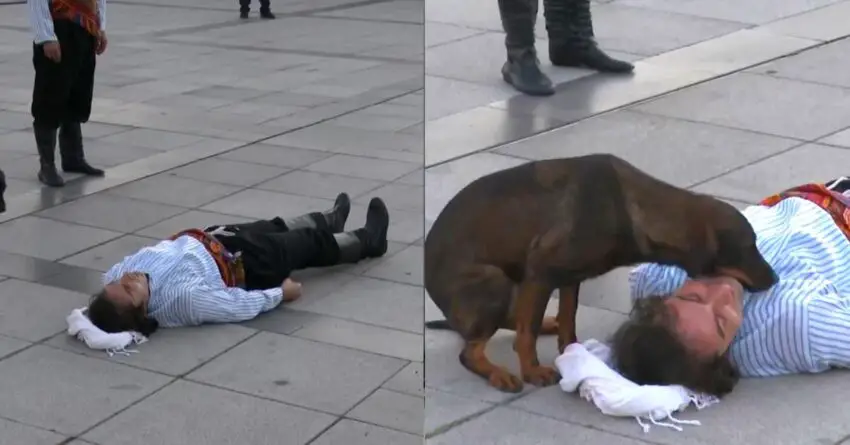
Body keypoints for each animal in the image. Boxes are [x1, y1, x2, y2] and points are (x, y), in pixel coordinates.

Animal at [424, 153, 776, 392]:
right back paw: (498, 372)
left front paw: (571, 350)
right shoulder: (541, 270)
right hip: (495, 282)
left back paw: (544, 326)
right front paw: (533, 371)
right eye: (748, 247)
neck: (632, 209)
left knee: (511, 321)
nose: (775, 279)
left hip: (513, 285)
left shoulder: (568, 278)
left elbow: (567, 318)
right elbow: (526, 335)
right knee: (471, 351)